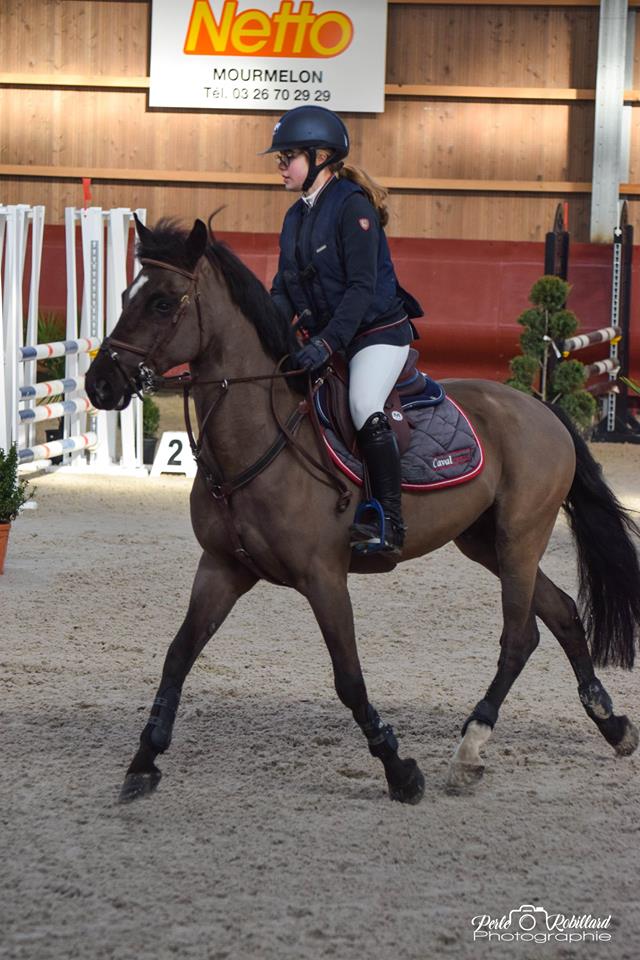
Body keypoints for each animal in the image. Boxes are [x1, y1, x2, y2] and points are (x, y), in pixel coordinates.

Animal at [85, 218, 640, 804]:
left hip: (519, 537)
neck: (259, 439)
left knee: (520, 637)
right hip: (486, 543)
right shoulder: (222, 568)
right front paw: (143, 761)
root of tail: (541, 409)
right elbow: (178, 656)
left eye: (163, 302)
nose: (99, 384)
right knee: (561, 614)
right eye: (123, 297)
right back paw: (612, 725)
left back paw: (470, 746)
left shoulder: (323, 577)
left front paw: (399, 769)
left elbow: (349, 678)